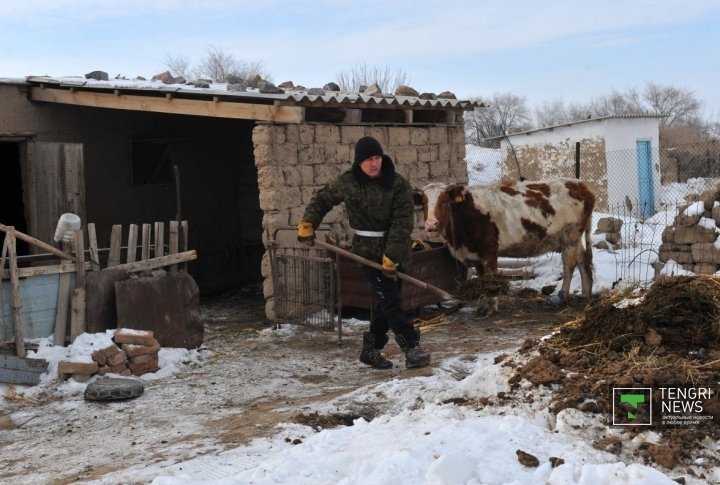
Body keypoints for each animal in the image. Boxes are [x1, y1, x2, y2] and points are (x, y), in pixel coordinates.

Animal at [414, 178, 592, 310]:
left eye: (444, 201)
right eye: (423, 202)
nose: (431, 224)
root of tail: (579, 184)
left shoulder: (489, 250)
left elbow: (491, 278)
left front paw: (492, 306)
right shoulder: (476, 253)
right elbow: (483, 279)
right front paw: (484, 304)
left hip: (569, 237)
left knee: (569, 265)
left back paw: (562, 297)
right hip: (574, 239)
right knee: (583, 260)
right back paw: (586, 294)